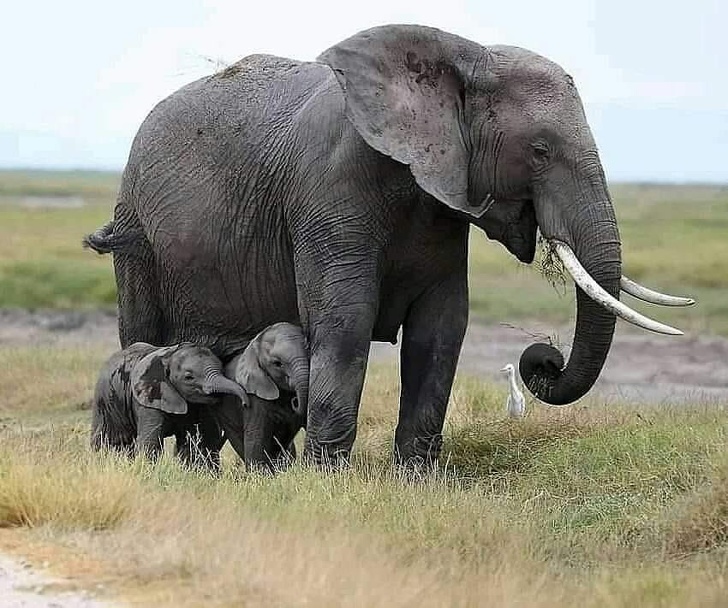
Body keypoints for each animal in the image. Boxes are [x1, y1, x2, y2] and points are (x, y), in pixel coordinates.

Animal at [88, 342, 246, 470]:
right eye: (189, 377)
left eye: (222, 370)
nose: (245, 402)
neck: (169, 356)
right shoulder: (148, 398)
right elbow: (151, 442)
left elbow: (196, 440)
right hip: (105, 399)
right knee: (108, 438)